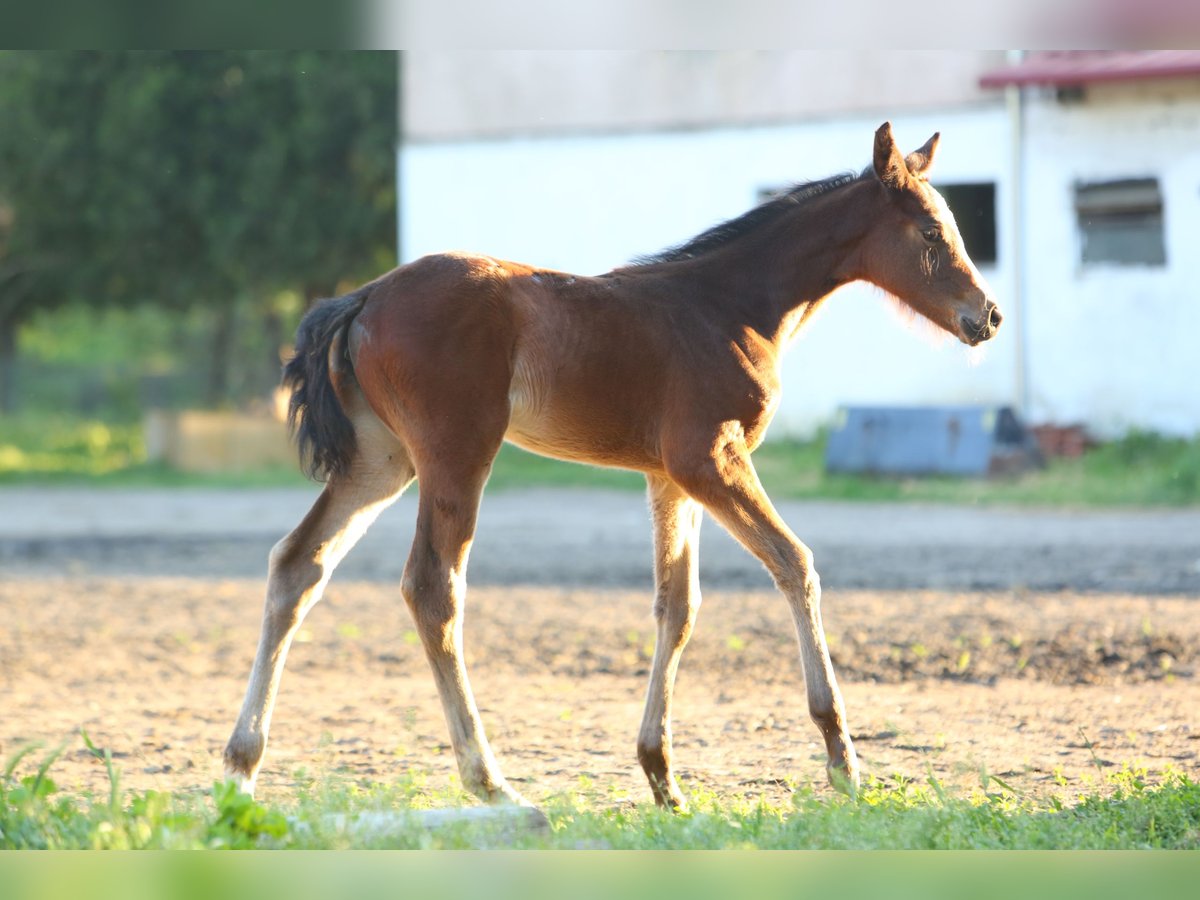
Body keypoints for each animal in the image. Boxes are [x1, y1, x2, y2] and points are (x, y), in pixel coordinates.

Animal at [223, 122, 1001, 812]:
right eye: (931, 233)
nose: (988, 316)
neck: (730, 306)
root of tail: (364, 297)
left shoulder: (671, 477)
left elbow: (677, 606)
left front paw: (662, 776)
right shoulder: (709, 457)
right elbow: (795, 563)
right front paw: (843, 762)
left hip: (381, 460)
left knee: (298, 564)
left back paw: (240, 770)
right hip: (456, 451)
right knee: (432, 588)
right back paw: (491, 783)